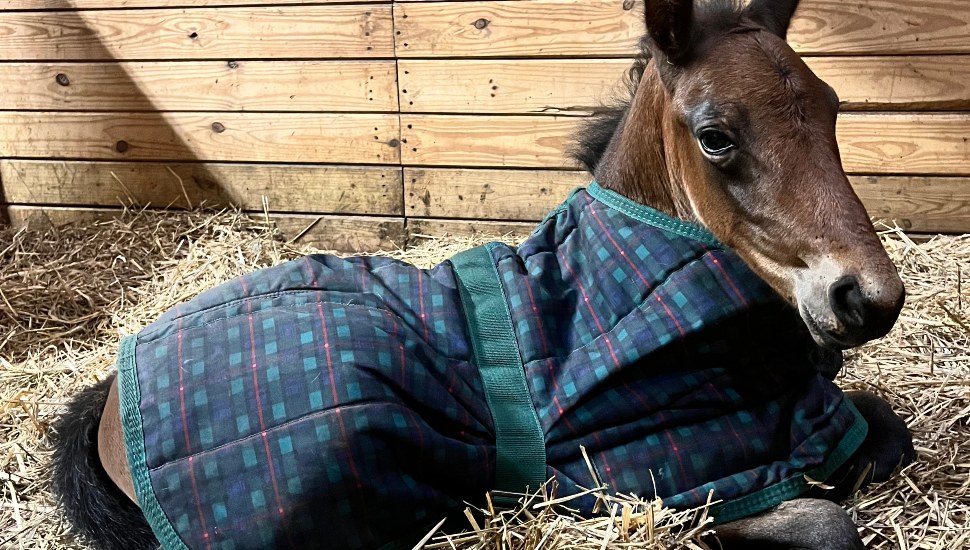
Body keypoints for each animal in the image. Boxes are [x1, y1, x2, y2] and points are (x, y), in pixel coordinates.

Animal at [50, 0, 916, 549]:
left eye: (834, 109)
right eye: (716, 137)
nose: (868, 298)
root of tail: (107, 398)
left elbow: (886, 432)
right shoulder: (657, 479)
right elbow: (827, 520)